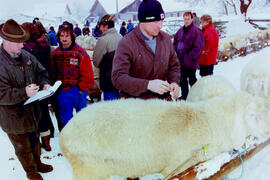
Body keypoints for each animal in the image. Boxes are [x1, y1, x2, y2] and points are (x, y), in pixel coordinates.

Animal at [60, 93, 270, 180]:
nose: (269, 131)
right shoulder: (178, 167)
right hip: (87, 171)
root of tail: (63, 135)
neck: (208, 124)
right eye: (254, 115)